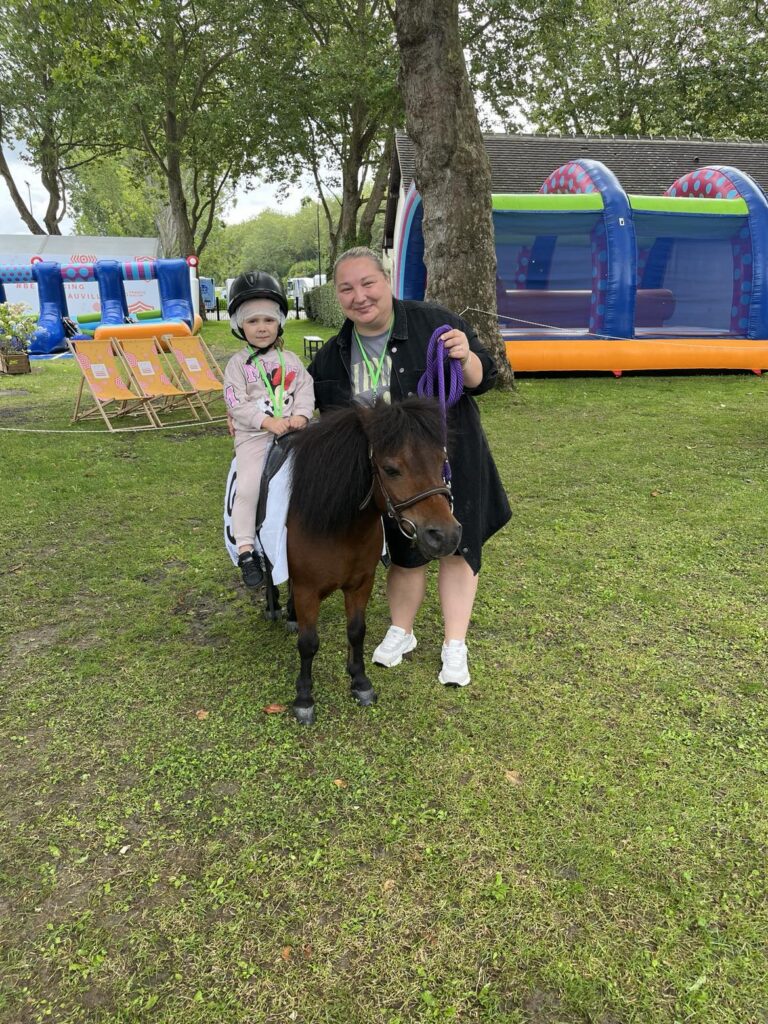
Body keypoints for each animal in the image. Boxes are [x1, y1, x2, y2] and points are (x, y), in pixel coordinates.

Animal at [284, 395, 460, 724]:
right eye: (391, 469)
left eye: (440, 459)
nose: (445, 535)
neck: (339, 528)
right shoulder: (306, 590)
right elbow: (308, 642)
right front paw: (304, 698)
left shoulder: (360, 584)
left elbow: (356, 631)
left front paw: (360, 681)